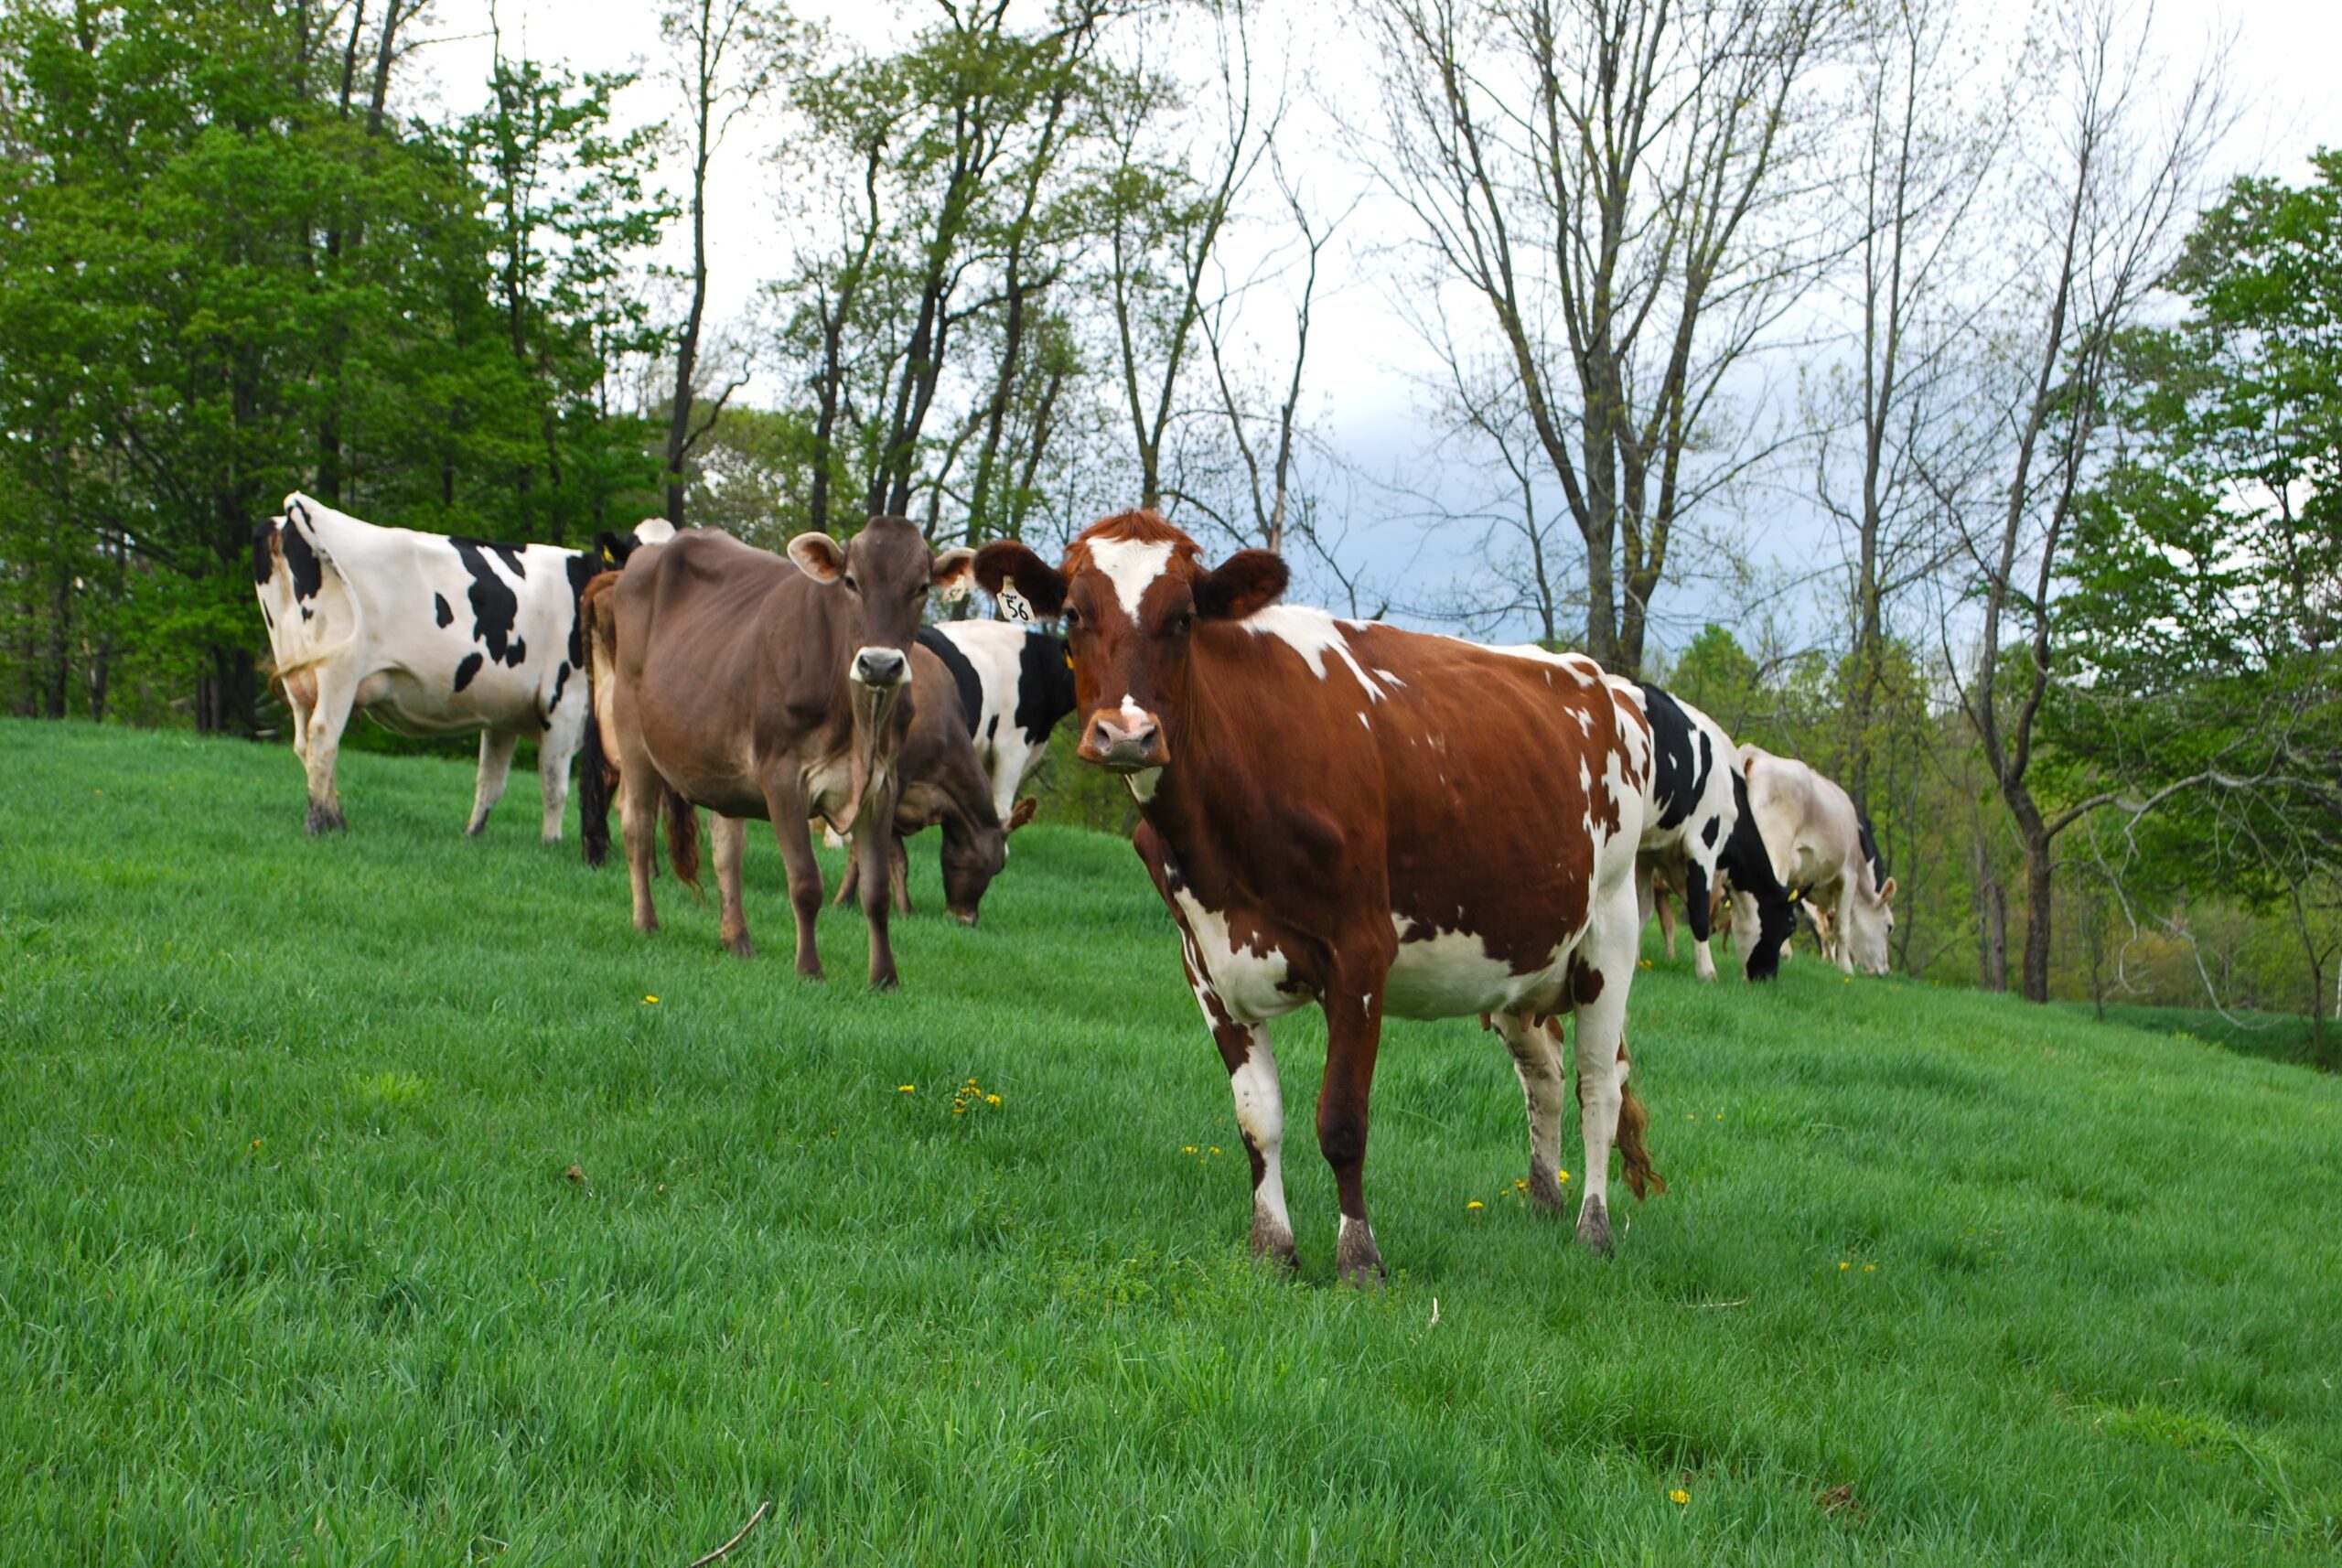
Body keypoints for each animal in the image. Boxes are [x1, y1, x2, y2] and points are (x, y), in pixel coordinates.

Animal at [251, 491, 670, 838]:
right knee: (324, 737)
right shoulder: (564, 701)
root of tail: (296, 512)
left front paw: (473, 834)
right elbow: (554, 784)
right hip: (339, 669)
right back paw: (318, 824)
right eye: (633, 558)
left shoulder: (505, 714)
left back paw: (335, 820)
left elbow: (490, 782)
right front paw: (551, 842)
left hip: (299, 676)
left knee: (309, 744)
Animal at [583, 518, 975, 989]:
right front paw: (809, 968)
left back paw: (737, 938)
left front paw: (884, 978)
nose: (880, 664)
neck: (860, 726)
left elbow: (876, 890)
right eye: (850, 581)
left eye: (920, 587)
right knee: (637, 824)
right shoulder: (783, 776)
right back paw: (646, 921)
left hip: (720, 763)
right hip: (632, 733)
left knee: (726, 849)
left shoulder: (882, 786)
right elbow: (805, 881)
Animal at [975, 510, 1663, 1283]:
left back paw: (1592, 1229)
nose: (1127, 734)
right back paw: (1544, 1201)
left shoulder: (1360, 952)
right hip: (1521, 956)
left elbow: (1341, 1122)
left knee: (1598, 1086)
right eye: (1072, 615)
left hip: (1610, 932)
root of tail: (1602, 677)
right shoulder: (1205, 964)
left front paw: (1359, 1258)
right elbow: (1257, 1120)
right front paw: (1272, 1247)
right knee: (1542, 1073)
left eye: (1183, 618)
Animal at [1624, 682, 1797, 981]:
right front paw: (1707, 972)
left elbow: (1641, 910)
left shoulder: (1647, 853)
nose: (1767, 977)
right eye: (1789, 925)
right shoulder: (1702, 844)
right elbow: (1700, 914)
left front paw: (1633, 963)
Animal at [1727, 745, 1898, 975]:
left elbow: (1821, 925)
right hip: (1774, 849)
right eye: (1889, 926)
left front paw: (1826, 960)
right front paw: (1845, 968)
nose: (1885, 970)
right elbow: (1842, 925)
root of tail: (1755, 753)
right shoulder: (1848, 876)